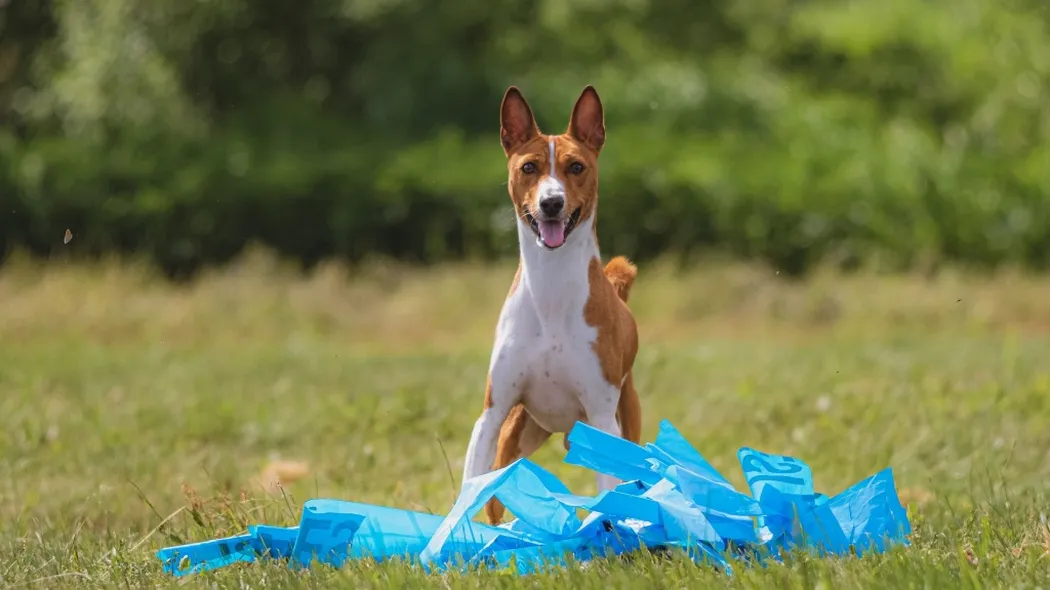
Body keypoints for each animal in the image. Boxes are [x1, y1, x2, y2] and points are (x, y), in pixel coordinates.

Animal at [464, 83, 642, 522]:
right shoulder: (492, 414)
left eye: (576, 167)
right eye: (529, 167)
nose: (551, 203)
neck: (551, 291)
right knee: (495, 499)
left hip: (624, 421)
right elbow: (468, 493)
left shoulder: (602, 417)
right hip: (516, 434)